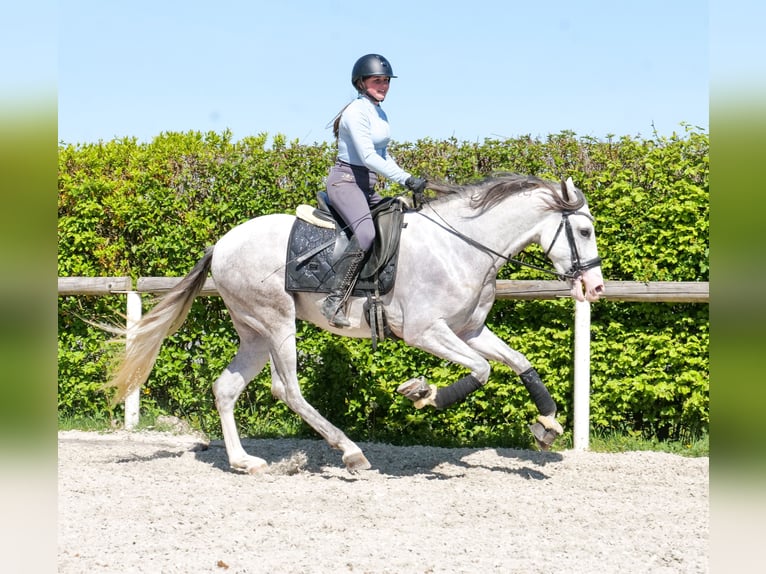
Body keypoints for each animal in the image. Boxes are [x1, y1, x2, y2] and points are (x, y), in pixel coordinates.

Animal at [105, 174, 604, 473]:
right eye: (583, 231)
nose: (595, 288)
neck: (461, 247)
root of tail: (223, 242)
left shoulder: (469, 332)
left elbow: (519, 362)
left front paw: (547, 424)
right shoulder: (427, 332)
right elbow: (481, 371)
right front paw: (423, 393)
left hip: (255, 333)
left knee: (227, 388)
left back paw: (245, 461)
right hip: (277, 322)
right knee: (287, 390)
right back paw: (350, 451)